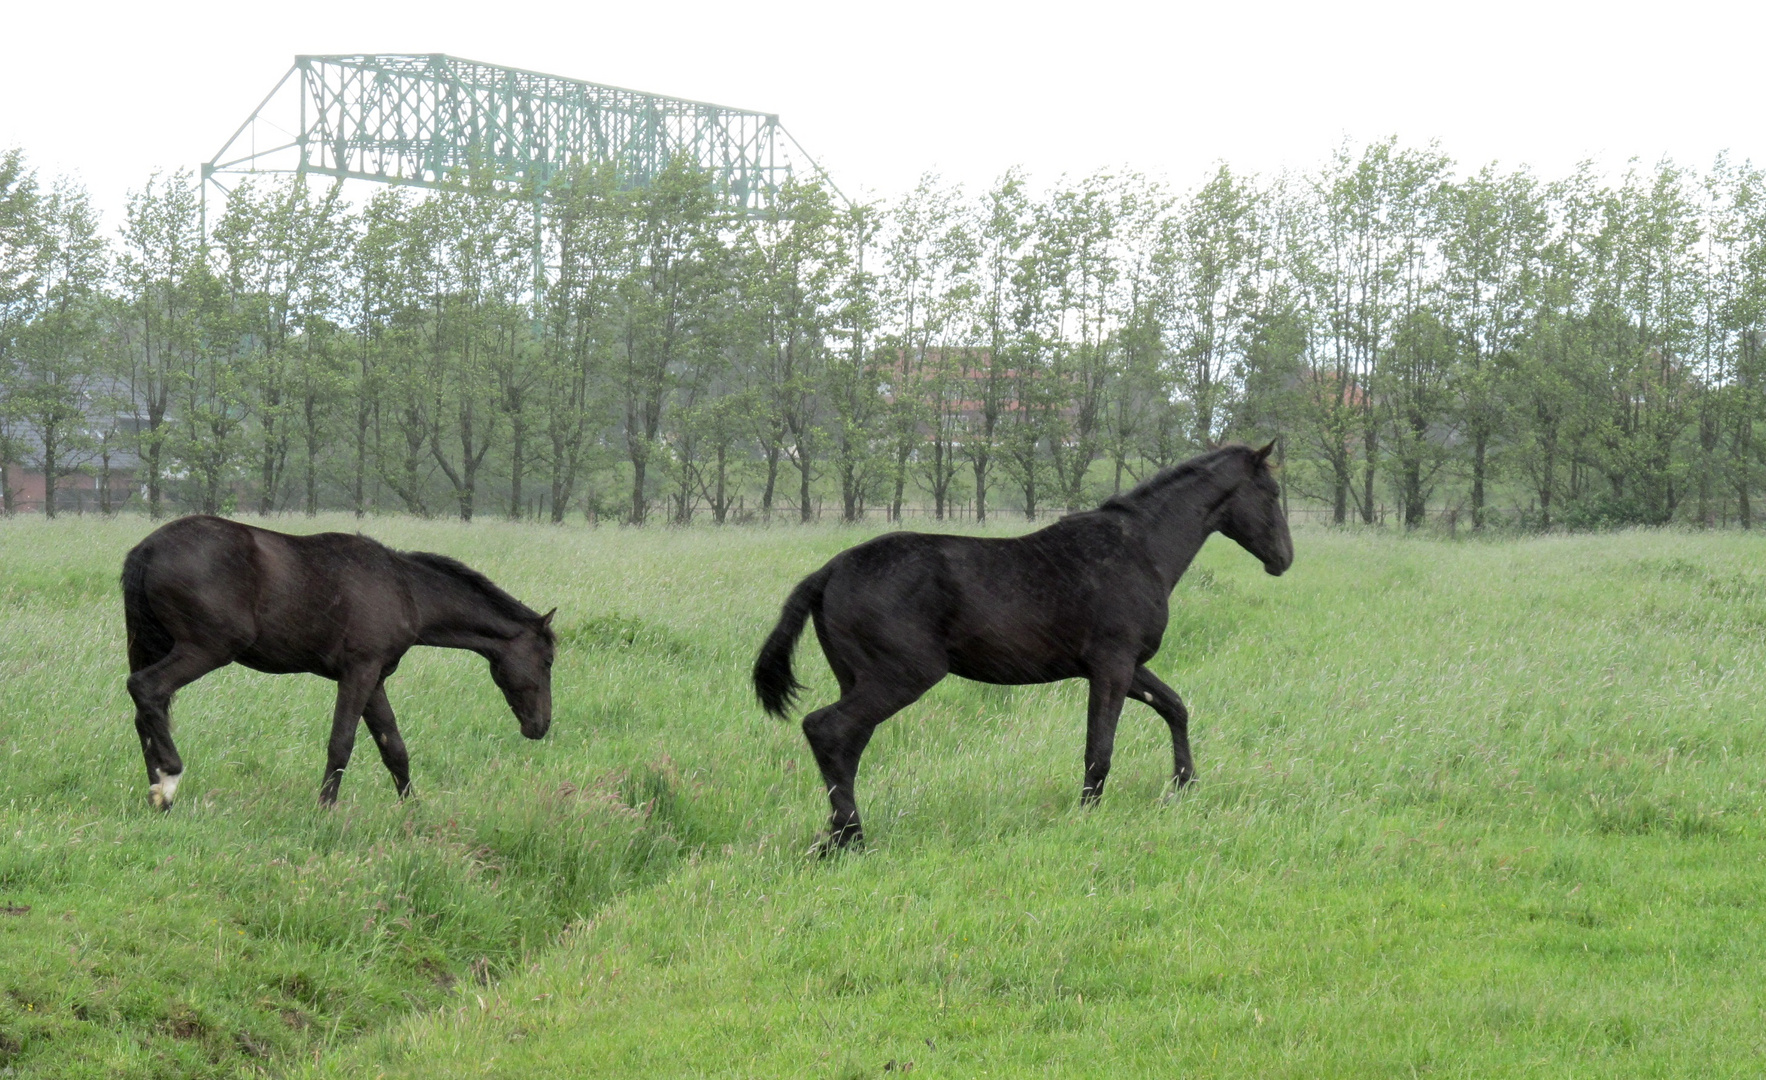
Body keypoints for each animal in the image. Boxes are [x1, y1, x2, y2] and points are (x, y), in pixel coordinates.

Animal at [122, 515, 558, 811]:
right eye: (549, 659)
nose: (540, 727)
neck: (405, 590)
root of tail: (147, 548)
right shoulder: (358, 673)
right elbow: (341, 743)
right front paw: (325, 808)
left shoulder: (375, 679)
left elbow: (394, 748)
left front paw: (412, 809)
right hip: (207, 649)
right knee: (146, 689)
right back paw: (169, 779)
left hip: (157, 645)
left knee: (146, 712)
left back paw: (157, 792)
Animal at [752, 442, 1292, 847]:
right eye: (1271, 492)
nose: (1284, 559)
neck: (1139, 550)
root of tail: (830, 571)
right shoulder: (1112, 665)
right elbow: (1099, 748)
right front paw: (1088, 815)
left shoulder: (1124, 666)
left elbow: (1175, 707)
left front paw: (1184, 786)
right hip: (902, 676)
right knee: (826, 729)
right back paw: (850, 839)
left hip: (859, 679)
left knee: (847, 744)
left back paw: (837, 835)